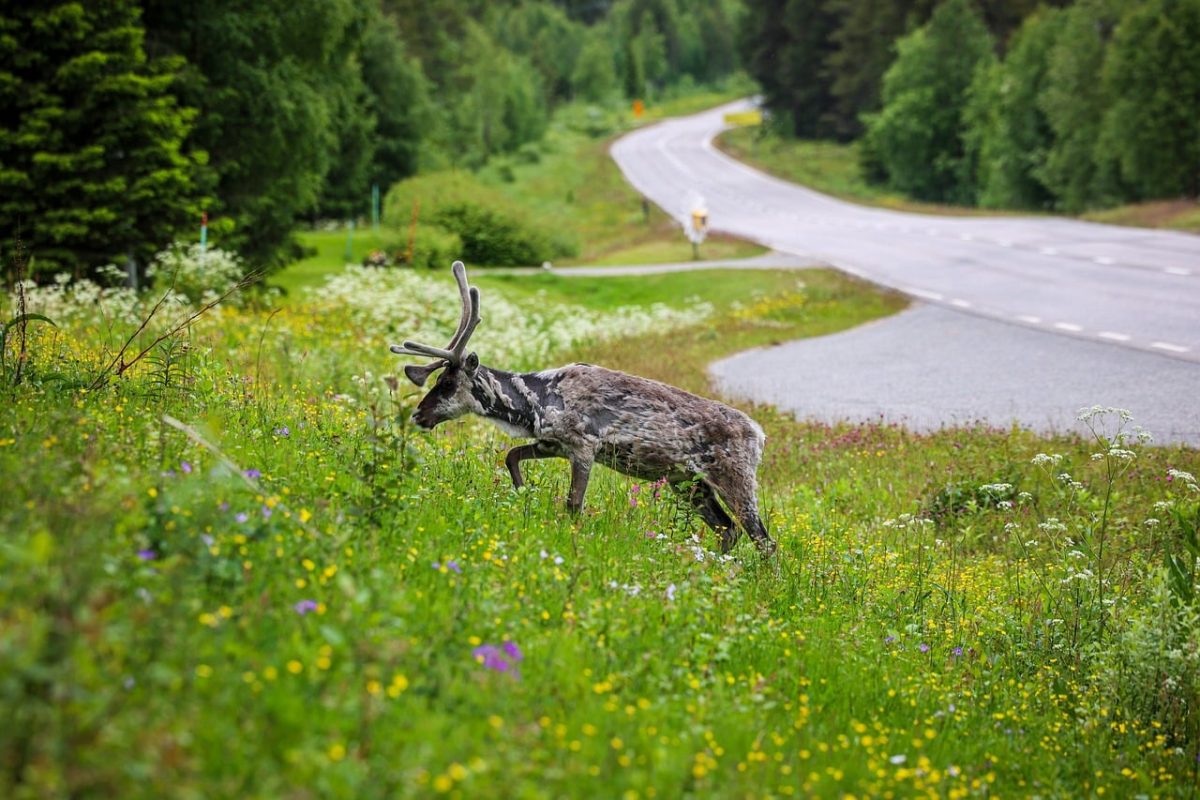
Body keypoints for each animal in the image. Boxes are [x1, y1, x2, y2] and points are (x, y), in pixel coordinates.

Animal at [389, 261, 776, 556]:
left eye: (447, 383)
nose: (419, 415)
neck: (537, 402)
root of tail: (760, 435)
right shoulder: (552, 443)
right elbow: (512, 456)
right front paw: (522, 493)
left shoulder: (584, 446)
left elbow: (573, 505)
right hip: (688, 483)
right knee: (728, 530)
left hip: (734, 476)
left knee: (763, 539)